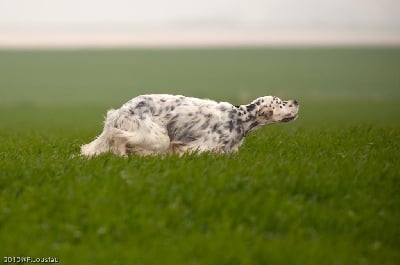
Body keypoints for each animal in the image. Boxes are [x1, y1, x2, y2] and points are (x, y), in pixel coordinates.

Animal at [81, 94, 298, 157]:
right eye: (280, 102)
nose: (296, 101)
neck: (240, 118)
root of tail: (120, 111)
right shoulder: (200, 147)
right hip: (157, 137)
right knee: (119, 138)